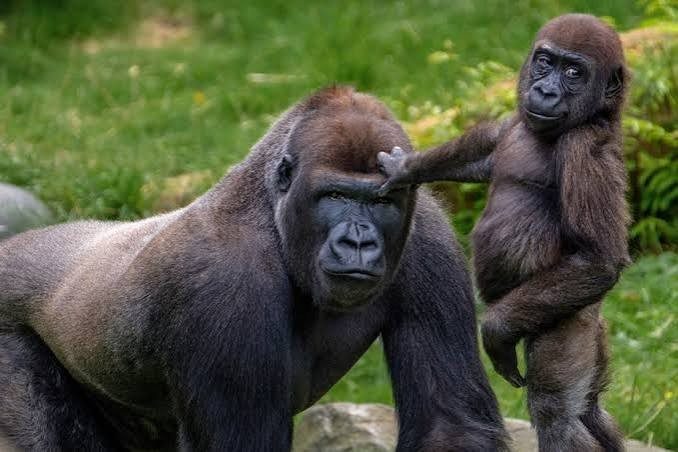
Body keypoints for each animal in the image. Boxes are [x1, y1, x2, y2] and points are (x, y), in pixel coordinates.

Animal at [0, 86, 507, 451]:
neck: (269, 210)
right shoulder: (225, 283)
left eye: (381, 201)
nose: (359, 241)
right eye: (335, 195)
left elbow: (450, 424)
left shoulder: (428, 236)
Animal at [378, 14, 630, 452]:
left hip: (569, 320)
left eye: (574, 72)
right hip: (595, 333)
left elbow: (597, 259)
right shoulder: (514, 122)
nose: (545, 90)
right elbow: (483, 151)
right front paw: (407, 169)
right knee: (592, 408)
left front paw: (494, 332)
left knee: (558, 413)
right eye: (545, 62)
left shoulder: (586, 148)